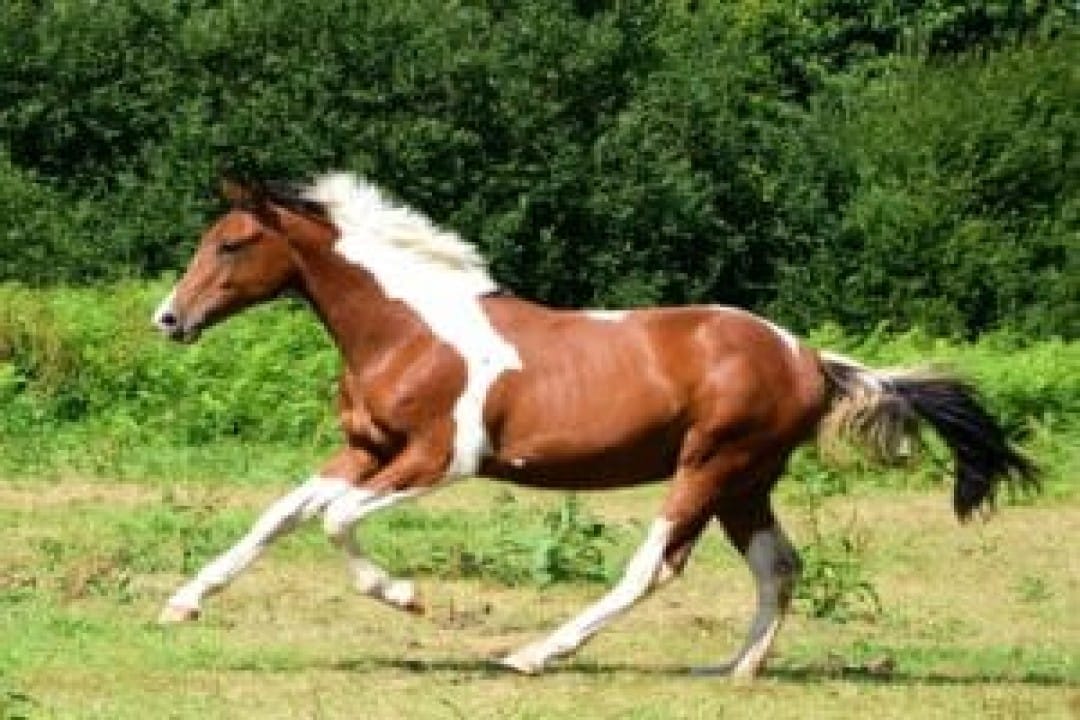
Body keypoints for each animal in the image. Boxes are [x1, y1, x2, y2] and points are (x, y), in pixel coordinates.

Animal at [152, 173, 1035, 678]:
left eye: (232, 244)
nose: (169, 319)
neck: (408, 328)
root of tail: (808, 357)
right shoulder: (366, 448)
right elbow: (279, 515)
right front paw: (182, 604)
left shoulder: (441, 456)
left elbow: (334, 520)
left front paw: (407, 597)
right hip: (745, 481)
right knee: (780, 566)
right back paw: (733, 671)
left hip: (711, 465)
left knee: (655, 566)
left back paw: (533, 654)